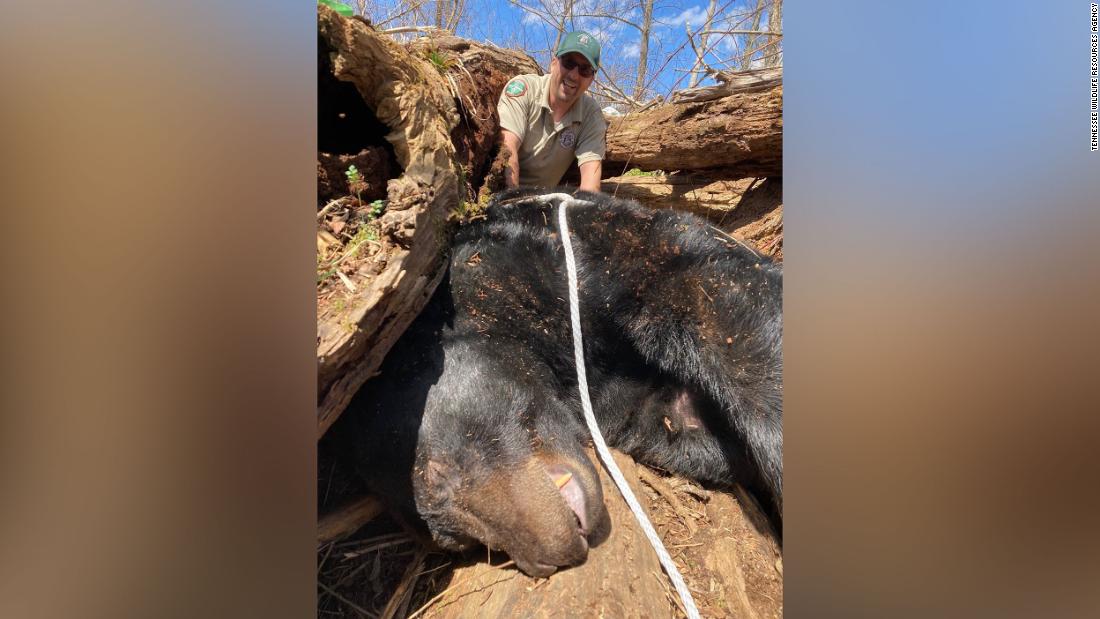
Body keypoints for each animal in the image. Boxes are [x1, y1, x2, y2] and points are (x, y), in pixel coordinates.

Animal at [338, 188, 778, 576]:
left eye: (439, 475)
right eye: (461, 544)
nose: (549, 558)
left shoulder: (574, 255)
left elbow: (713, 293)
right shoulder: (623, 403)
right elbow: (679, 427)